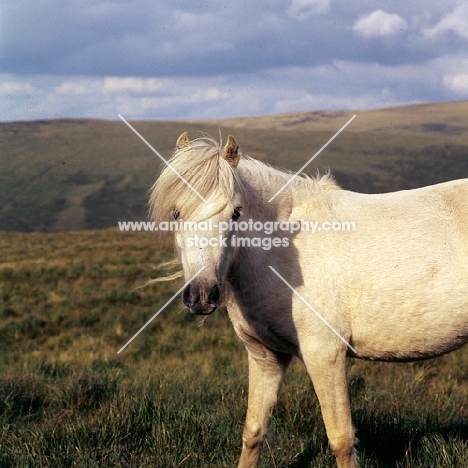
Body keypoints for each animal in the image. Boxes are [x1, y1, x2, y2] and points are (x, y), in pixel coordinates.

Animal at [149, 132, 468, 468]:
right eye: (176, 213)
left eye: (235, 212)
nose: (202, 295)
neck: (280, 252)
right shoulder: (265, 357)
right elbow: (254, 432)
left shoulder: (324, 354)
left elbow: (341, 439)